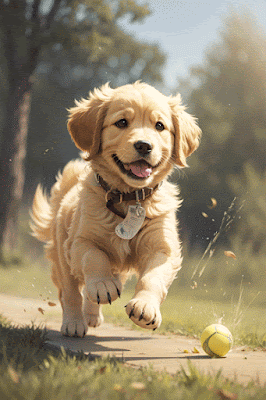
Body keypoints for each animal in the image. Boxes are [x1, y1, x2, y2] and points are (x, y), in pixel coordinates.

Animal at [30, 81, 201, 338]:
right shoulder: (79, 242)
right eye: (121, 122)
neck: (129, 198)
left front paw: (145, 307)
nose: (144, 146)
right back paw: (74, 322)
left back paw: (93, 313)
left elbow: (153, 277)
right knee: (70, 293)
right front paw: (102, 284)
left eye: (159, 126)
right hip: (62, 256)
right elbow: (95, 258)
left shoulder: (163, 247)